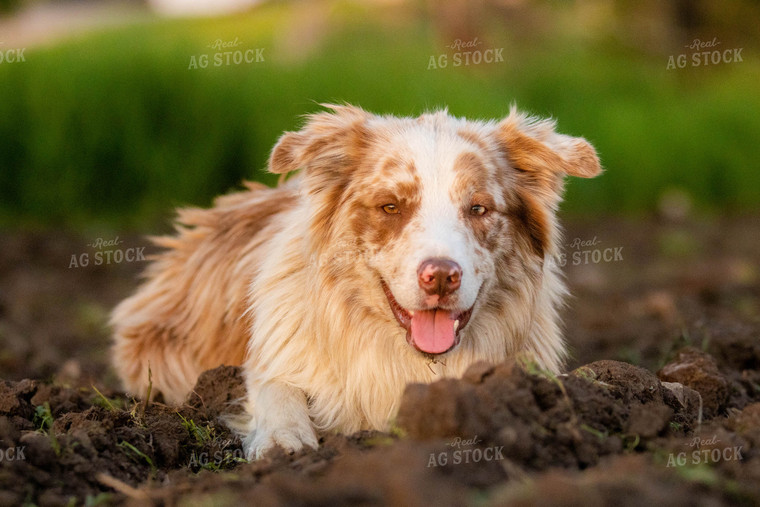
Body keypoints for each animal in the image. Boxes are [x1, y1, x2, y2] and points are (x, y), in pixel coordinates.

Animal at [111, 103, 600, 460]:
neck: (409, 359)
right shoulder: (274, 358)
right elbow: (274, 390)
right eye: (390, 206)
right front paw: (284, 443)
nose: (441, 277)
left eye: (478, 208)